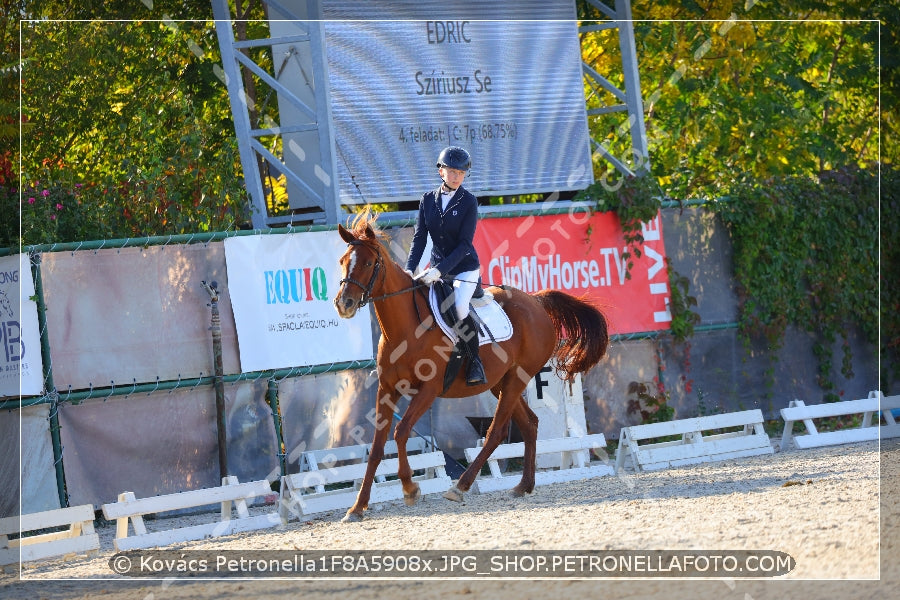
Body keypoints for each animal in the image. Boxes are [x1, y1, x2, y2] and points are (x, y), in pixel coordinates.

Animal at [334, 211, 608, 520]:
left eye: (369, 263)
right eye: (343, 261)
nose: (344, 304)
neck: (405, 329)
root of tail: (536, 301)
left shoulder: (428, 390)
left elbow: (401, 432)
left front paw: (409, 488)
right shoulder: (387, 389)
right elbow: (378, 447)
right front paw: (357, 507)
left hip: (517, 379)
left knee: (496, 432)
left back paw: (461, 487)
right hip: (501, 383)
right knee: (529, 424)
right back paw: (523, 486)